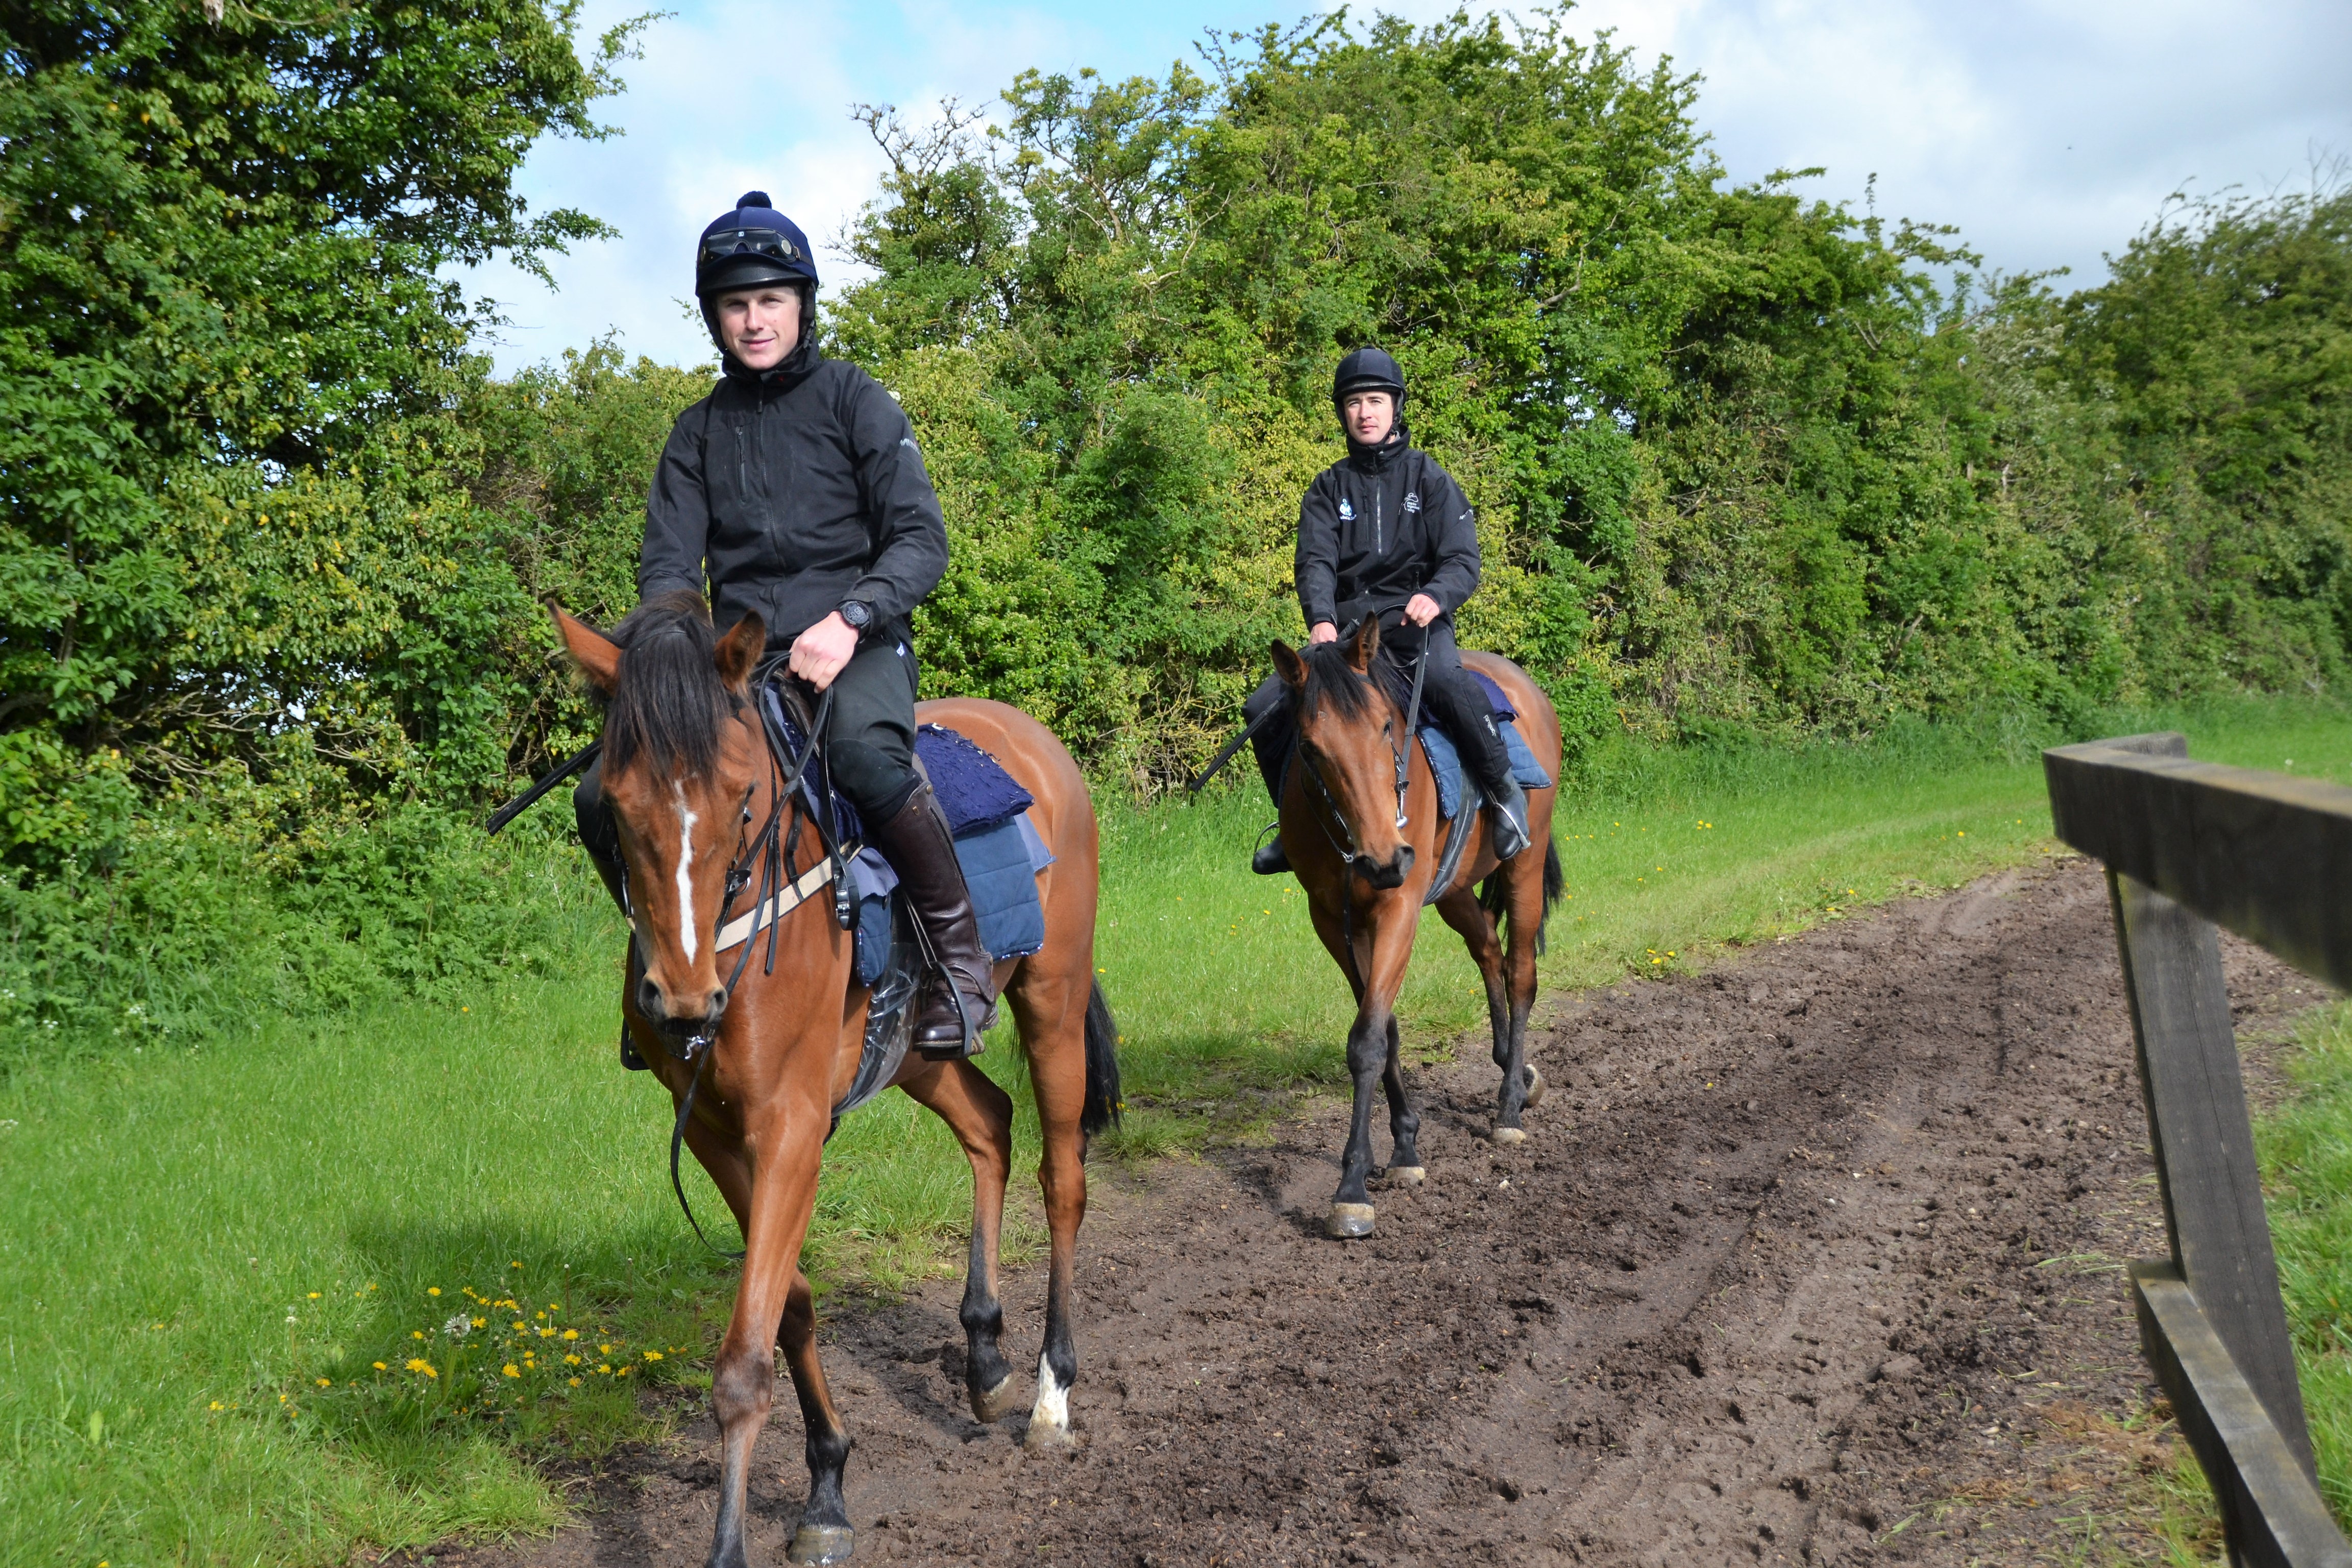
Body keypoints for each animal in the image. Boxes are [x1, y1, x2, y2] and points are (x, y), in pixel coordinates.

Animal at [559, 602, 1129, 1568]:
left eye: (741, 798)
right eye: (617, 806)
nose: (682, 999)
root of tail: (1032, 738)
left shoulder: (788, 1127)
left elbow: (744, 1361)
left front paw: (733, 1543)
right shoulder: (714, 1133)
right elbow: (787, 1306)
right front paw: (827, 1479)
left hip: (1051, 1002)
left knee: (1063, 1180)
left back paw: (1052, 1395)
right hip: (918, 1052)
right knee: (991, 1122)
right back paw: (984, 1355)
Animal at [1270, 620, 1561, 1241]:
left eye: (1386, 726)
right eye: (1309, 747)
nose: (1384, 859)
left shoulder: (1398, 907)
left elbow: (1367, 1040)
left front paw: (1352, 1189)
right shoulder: (1332, 920)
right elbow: (1385, 1030)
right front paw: (1404, 1146)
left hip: (1522, 867)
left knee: (1521, 974)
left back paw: (1508, 1108)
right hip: (1451, 889)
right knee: (1488, 949)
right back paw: (1514, 1067)